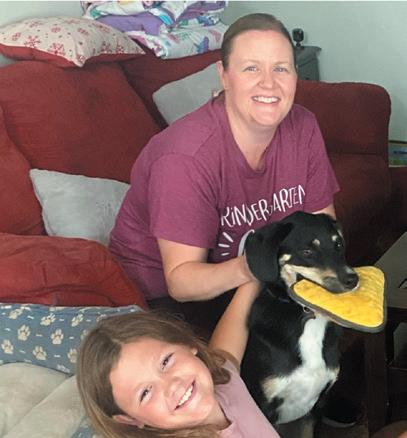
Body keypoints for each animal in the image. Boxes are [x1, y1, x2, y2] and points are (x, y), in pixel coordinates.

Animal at [241, 211, 359, 438]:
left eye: (339, 245)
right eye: (307, 251)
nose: (353, 279)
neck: (308, 320)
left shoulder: (312, 410)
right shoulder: (263, 409)